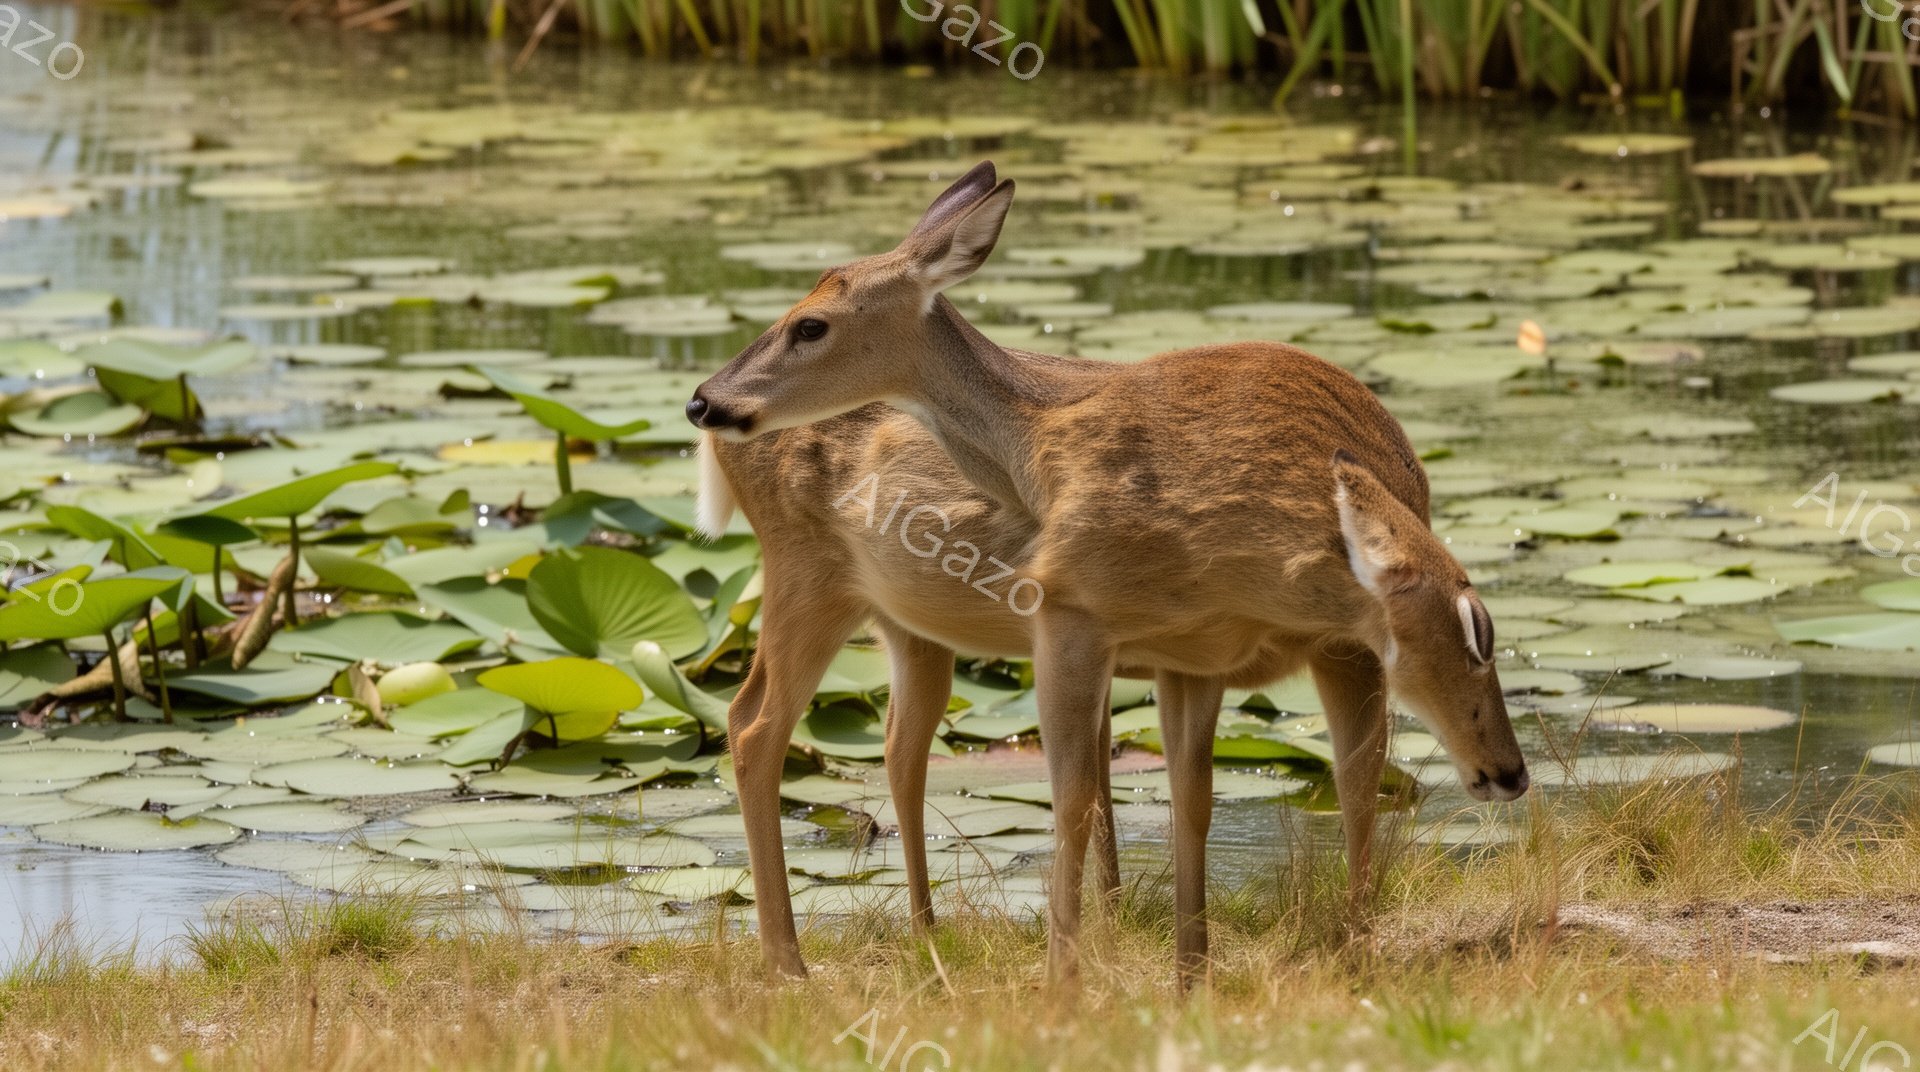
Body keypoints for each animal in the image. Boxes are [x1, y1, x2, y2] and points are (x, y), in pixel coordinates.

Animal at [687, 161, 1531, 988]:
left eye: (811, 324)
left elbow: (1213, 796)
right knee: (756, 725)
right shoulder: (1083, 620)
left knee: (892, 744)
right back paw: (793, 963)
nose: (705, 399)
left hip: (898, 620)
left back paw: (919, 942)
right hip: (808, 576)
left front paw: (1200, 971)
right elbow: (1081, 797)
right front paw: (1073, 977)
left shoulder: (1200, 651)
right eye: (1477, 634)